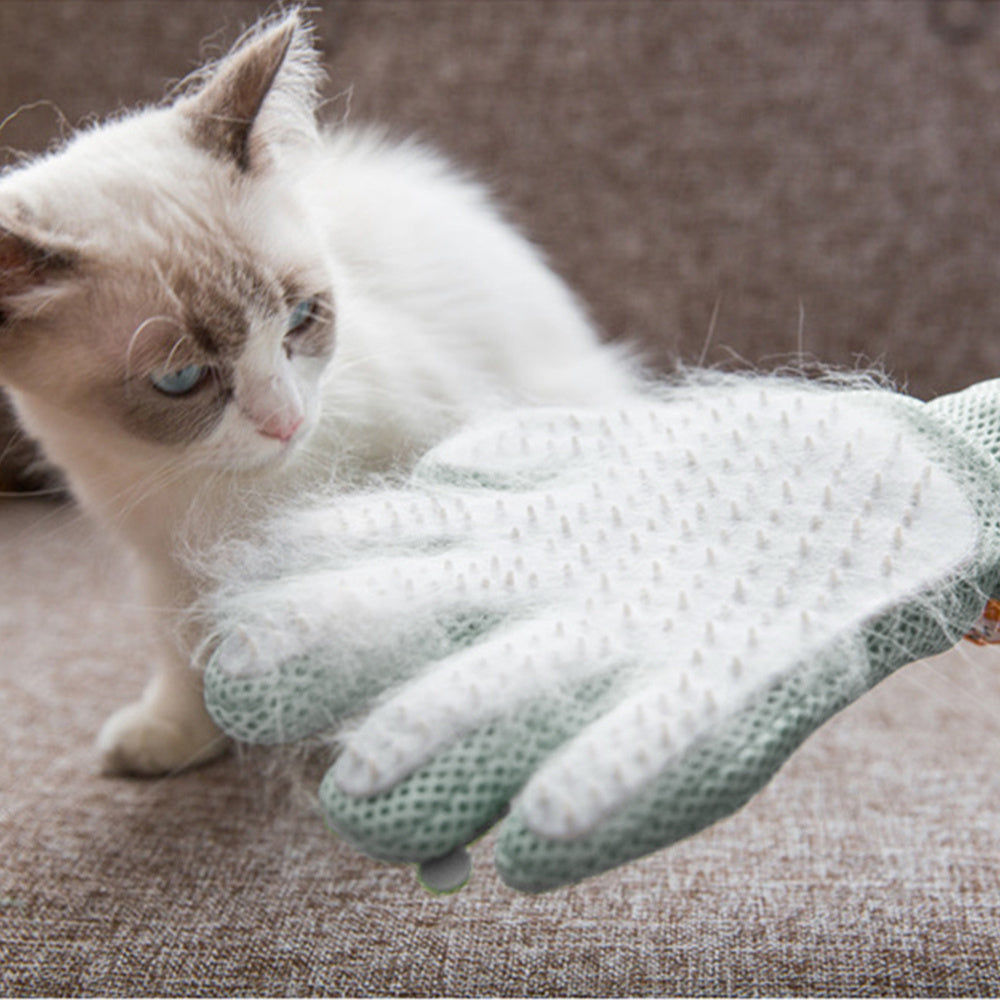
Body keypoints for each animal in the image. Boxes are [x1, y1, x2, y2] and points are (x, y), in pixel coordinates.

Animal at [0, 7, 636, 776]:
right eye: (181, 379)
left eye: (302, 317)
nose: (286, 421)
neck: (227, 492)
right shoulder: (167, 560)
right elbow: (184, 651)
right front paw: (177, 736)